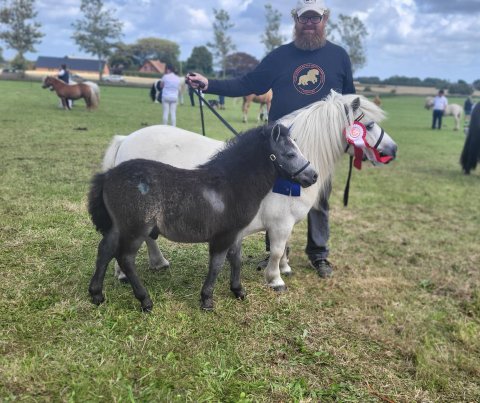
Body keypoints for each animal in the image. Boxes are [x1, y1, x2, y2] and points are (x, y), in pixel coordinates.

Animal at [87, 124, 316, 310]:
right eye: (290, 154)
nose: (313, 176)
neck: (231, 184)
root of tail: (108, 175)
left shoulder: (236, 233)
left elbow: (236, 259)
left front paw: (238, 291)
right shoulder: (223, 236)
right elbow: (217, 264)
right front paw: (207, 299)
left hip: (119, 227)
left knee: (105, 249)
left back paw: (97, 295)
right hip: (135, 230)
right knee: (125, 258)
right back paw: (145, 300)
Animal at [102, 91, 398, 292]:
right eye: (368, 125)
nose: (392, 150)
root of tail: (125, 140)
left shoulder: (285, 223)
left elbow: (284, 247)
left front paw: (284, 269)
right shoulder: (280, 222)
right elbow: (277, 249)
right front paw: (275, 279)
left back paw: (159, 262)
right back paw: (123, 274)